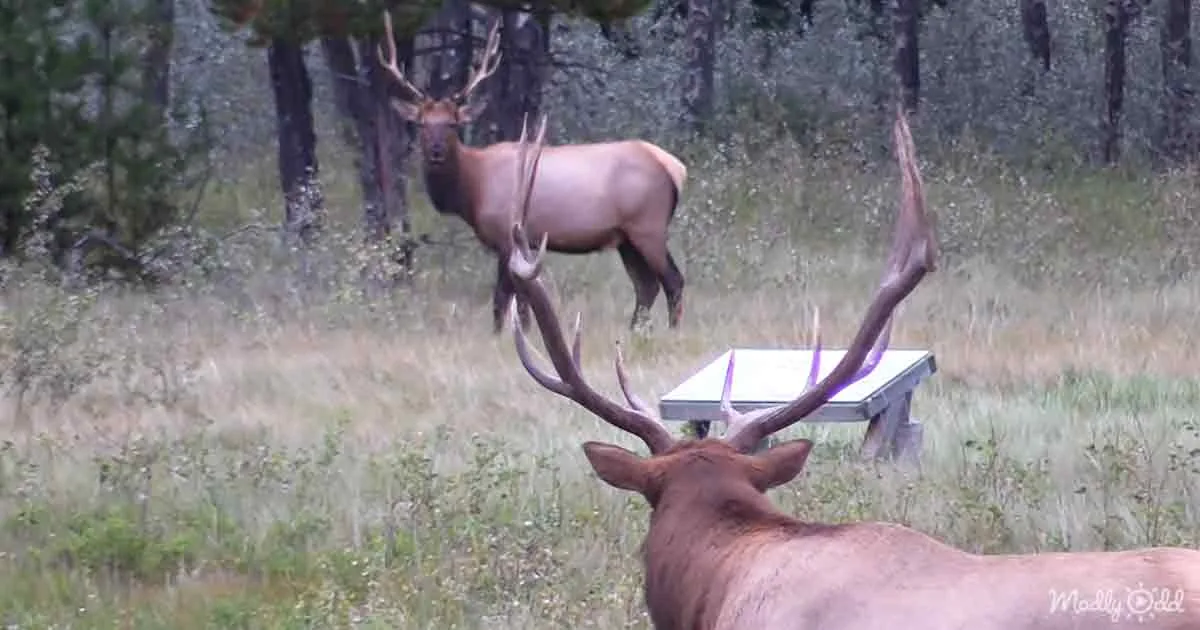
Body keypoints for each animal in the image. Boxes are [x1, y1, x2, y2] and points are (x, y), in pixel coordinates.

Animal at [377, 11, 688, 334]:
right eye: (422, 124)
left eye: (452, 123)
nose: (436, 152)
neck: (472, 189)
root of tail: (674, 167)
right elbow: (522, 304)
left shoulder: (507, 236)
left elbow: (502, 300)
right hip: (626, 237)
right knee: (646, 285)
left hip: (648, 225)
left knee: (673, 280)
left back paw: (671, 332)